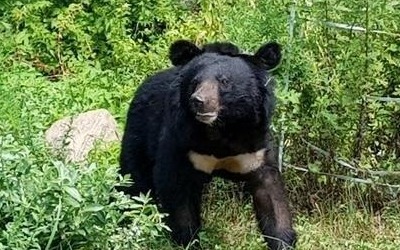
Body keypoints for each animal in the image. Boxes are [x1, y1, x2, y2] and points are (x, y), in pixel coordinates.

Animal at [117, 40, 296, 249]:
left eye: (224, 81)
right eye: (195, 82)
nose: (199, 101)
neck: (222, 129)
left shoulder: (256, 145)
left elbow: (271, 194)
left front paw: (283, 241)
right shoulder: (181, 140)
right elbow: (177, 191)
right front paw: (188, 241)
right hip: (139, 133)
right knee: (134, 181)